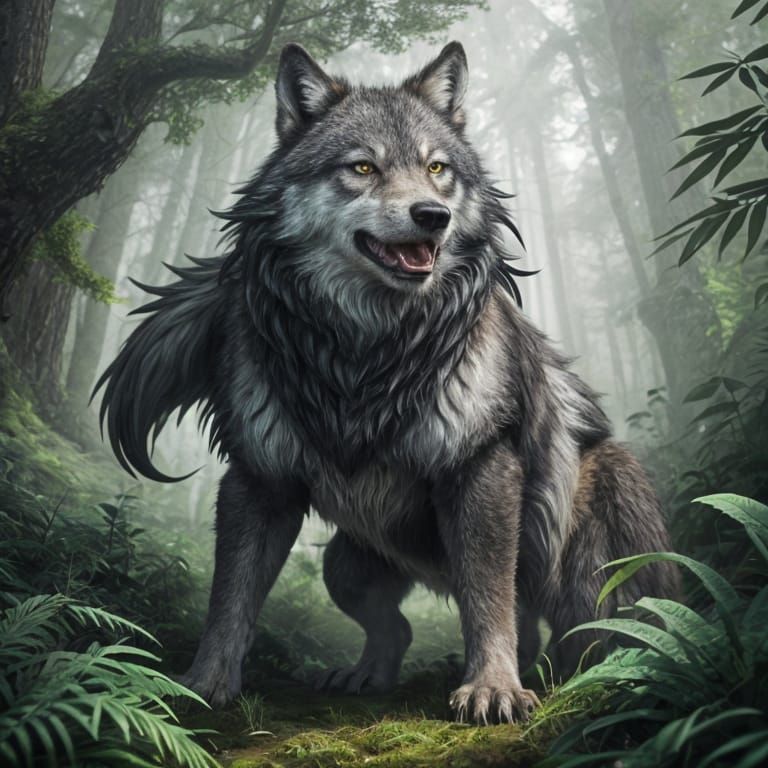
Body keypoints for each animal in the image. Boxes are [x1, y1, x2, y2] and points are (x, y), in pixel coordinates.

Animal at [96, 41, 678, 724]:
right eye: (363, 167)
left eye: (436, 168)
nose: (433, 215)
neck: (366, 349)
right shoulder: (259, 479)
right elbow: (229, 598)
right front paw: (203, 685)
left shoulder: (480, 466)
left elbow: (488, 595)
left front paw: (493, 689)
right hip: (345, 564)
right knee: (402, 628)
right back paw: (364, 676)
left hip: (590, 561)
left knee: (577, 631)